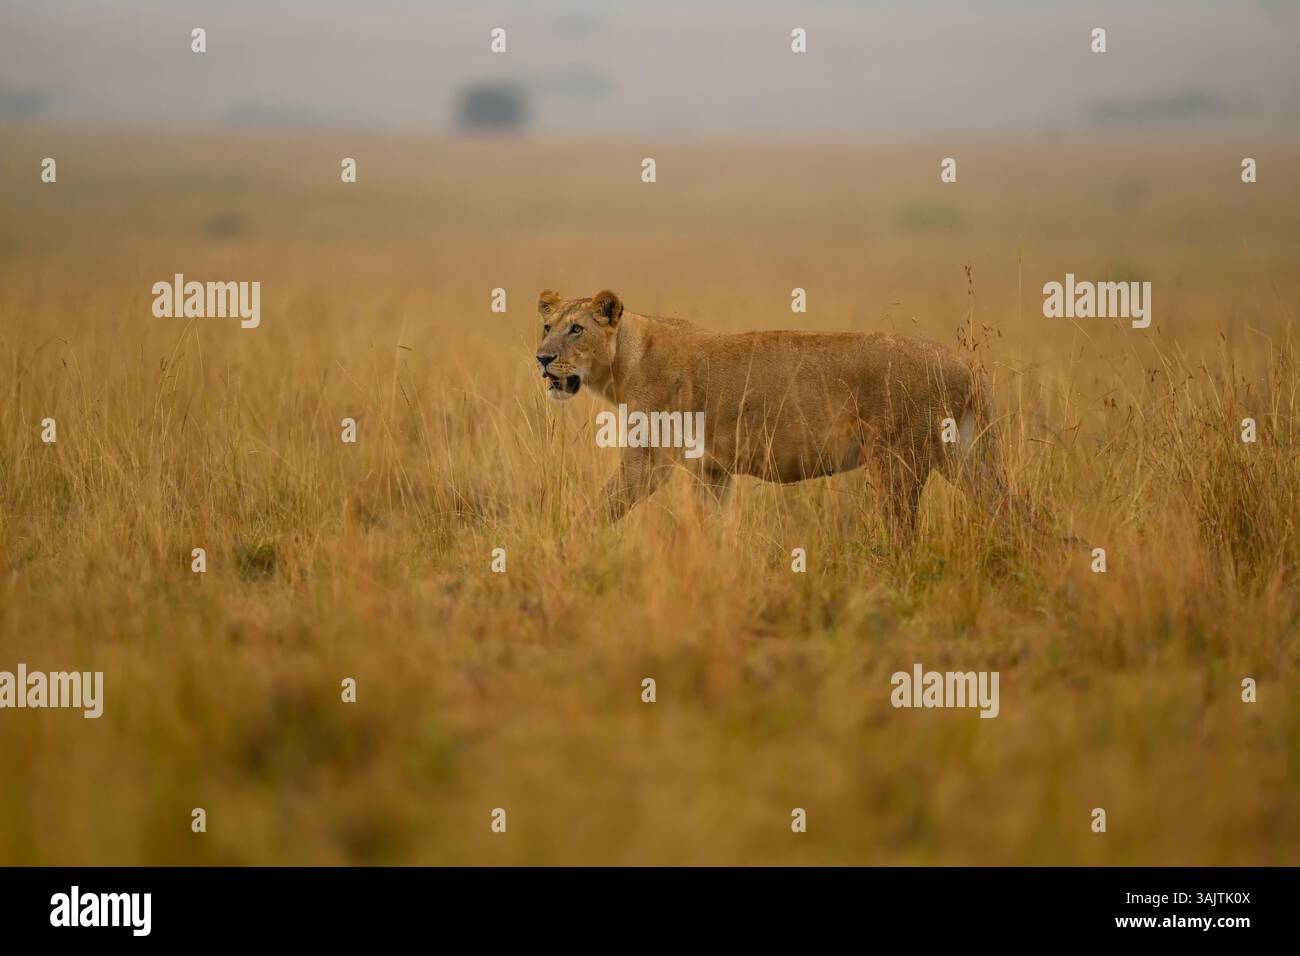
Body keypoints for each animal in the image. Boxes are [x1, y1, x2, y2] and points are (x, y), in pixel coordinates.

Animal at [534, 289, 1007, 533]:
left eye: (576, 329)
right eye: (547, 326)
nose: (541, 358)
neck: (624, 360)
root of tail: (965, 365)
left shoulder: (647, 461)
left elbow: (600, 508)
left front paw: (569, 549)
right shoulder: (712, 471)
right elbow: (714, 529)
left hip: (898, 462)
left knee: (903, 531)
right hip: (964, 455)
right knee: (1009, 508)